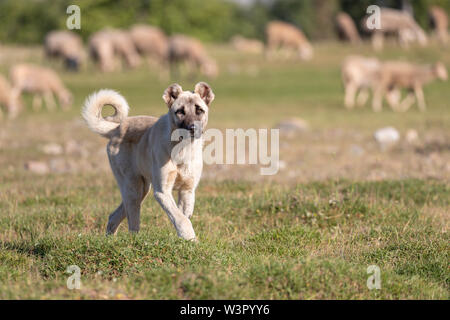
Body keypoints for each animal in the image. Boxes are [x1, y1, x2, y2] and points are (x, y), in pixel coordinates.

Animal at [82, 82, 216, 240]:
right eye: (180, 111)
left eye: (199, 110)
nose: (192, 128)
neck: (182, 149)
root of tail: (117, 128)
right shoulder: (162, 192)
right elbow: (181, 219)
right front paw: (190, 238)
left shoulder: (187, 190)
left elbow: (183, 216)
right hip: (133, 188)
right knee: (132, 222)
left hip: (142, 190)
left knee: (114, 216)